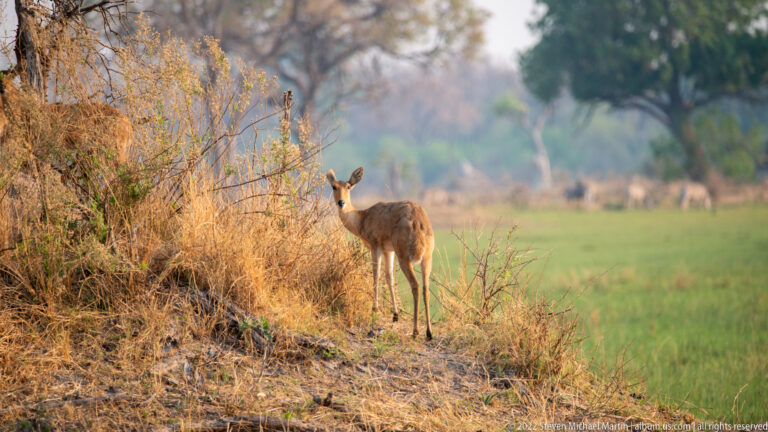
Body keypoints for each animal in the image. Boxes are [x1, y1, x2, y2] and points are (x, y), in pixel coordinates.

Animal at [327, 167, 435, 340]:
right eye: (334, 186)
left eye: (348, 186)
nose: (341, 202)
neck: (363, 218)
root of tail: (418, 222)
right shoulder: (388, 251)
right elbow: (389, 277)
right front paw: (395, 315)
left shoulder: (375, 246)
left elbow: (376, 275)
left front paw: (374, 312)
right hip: (427, 258)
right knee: (426, 288)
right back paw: (429, 333)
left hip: (404, 257)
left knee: (415, 285)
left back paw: (415, 331)